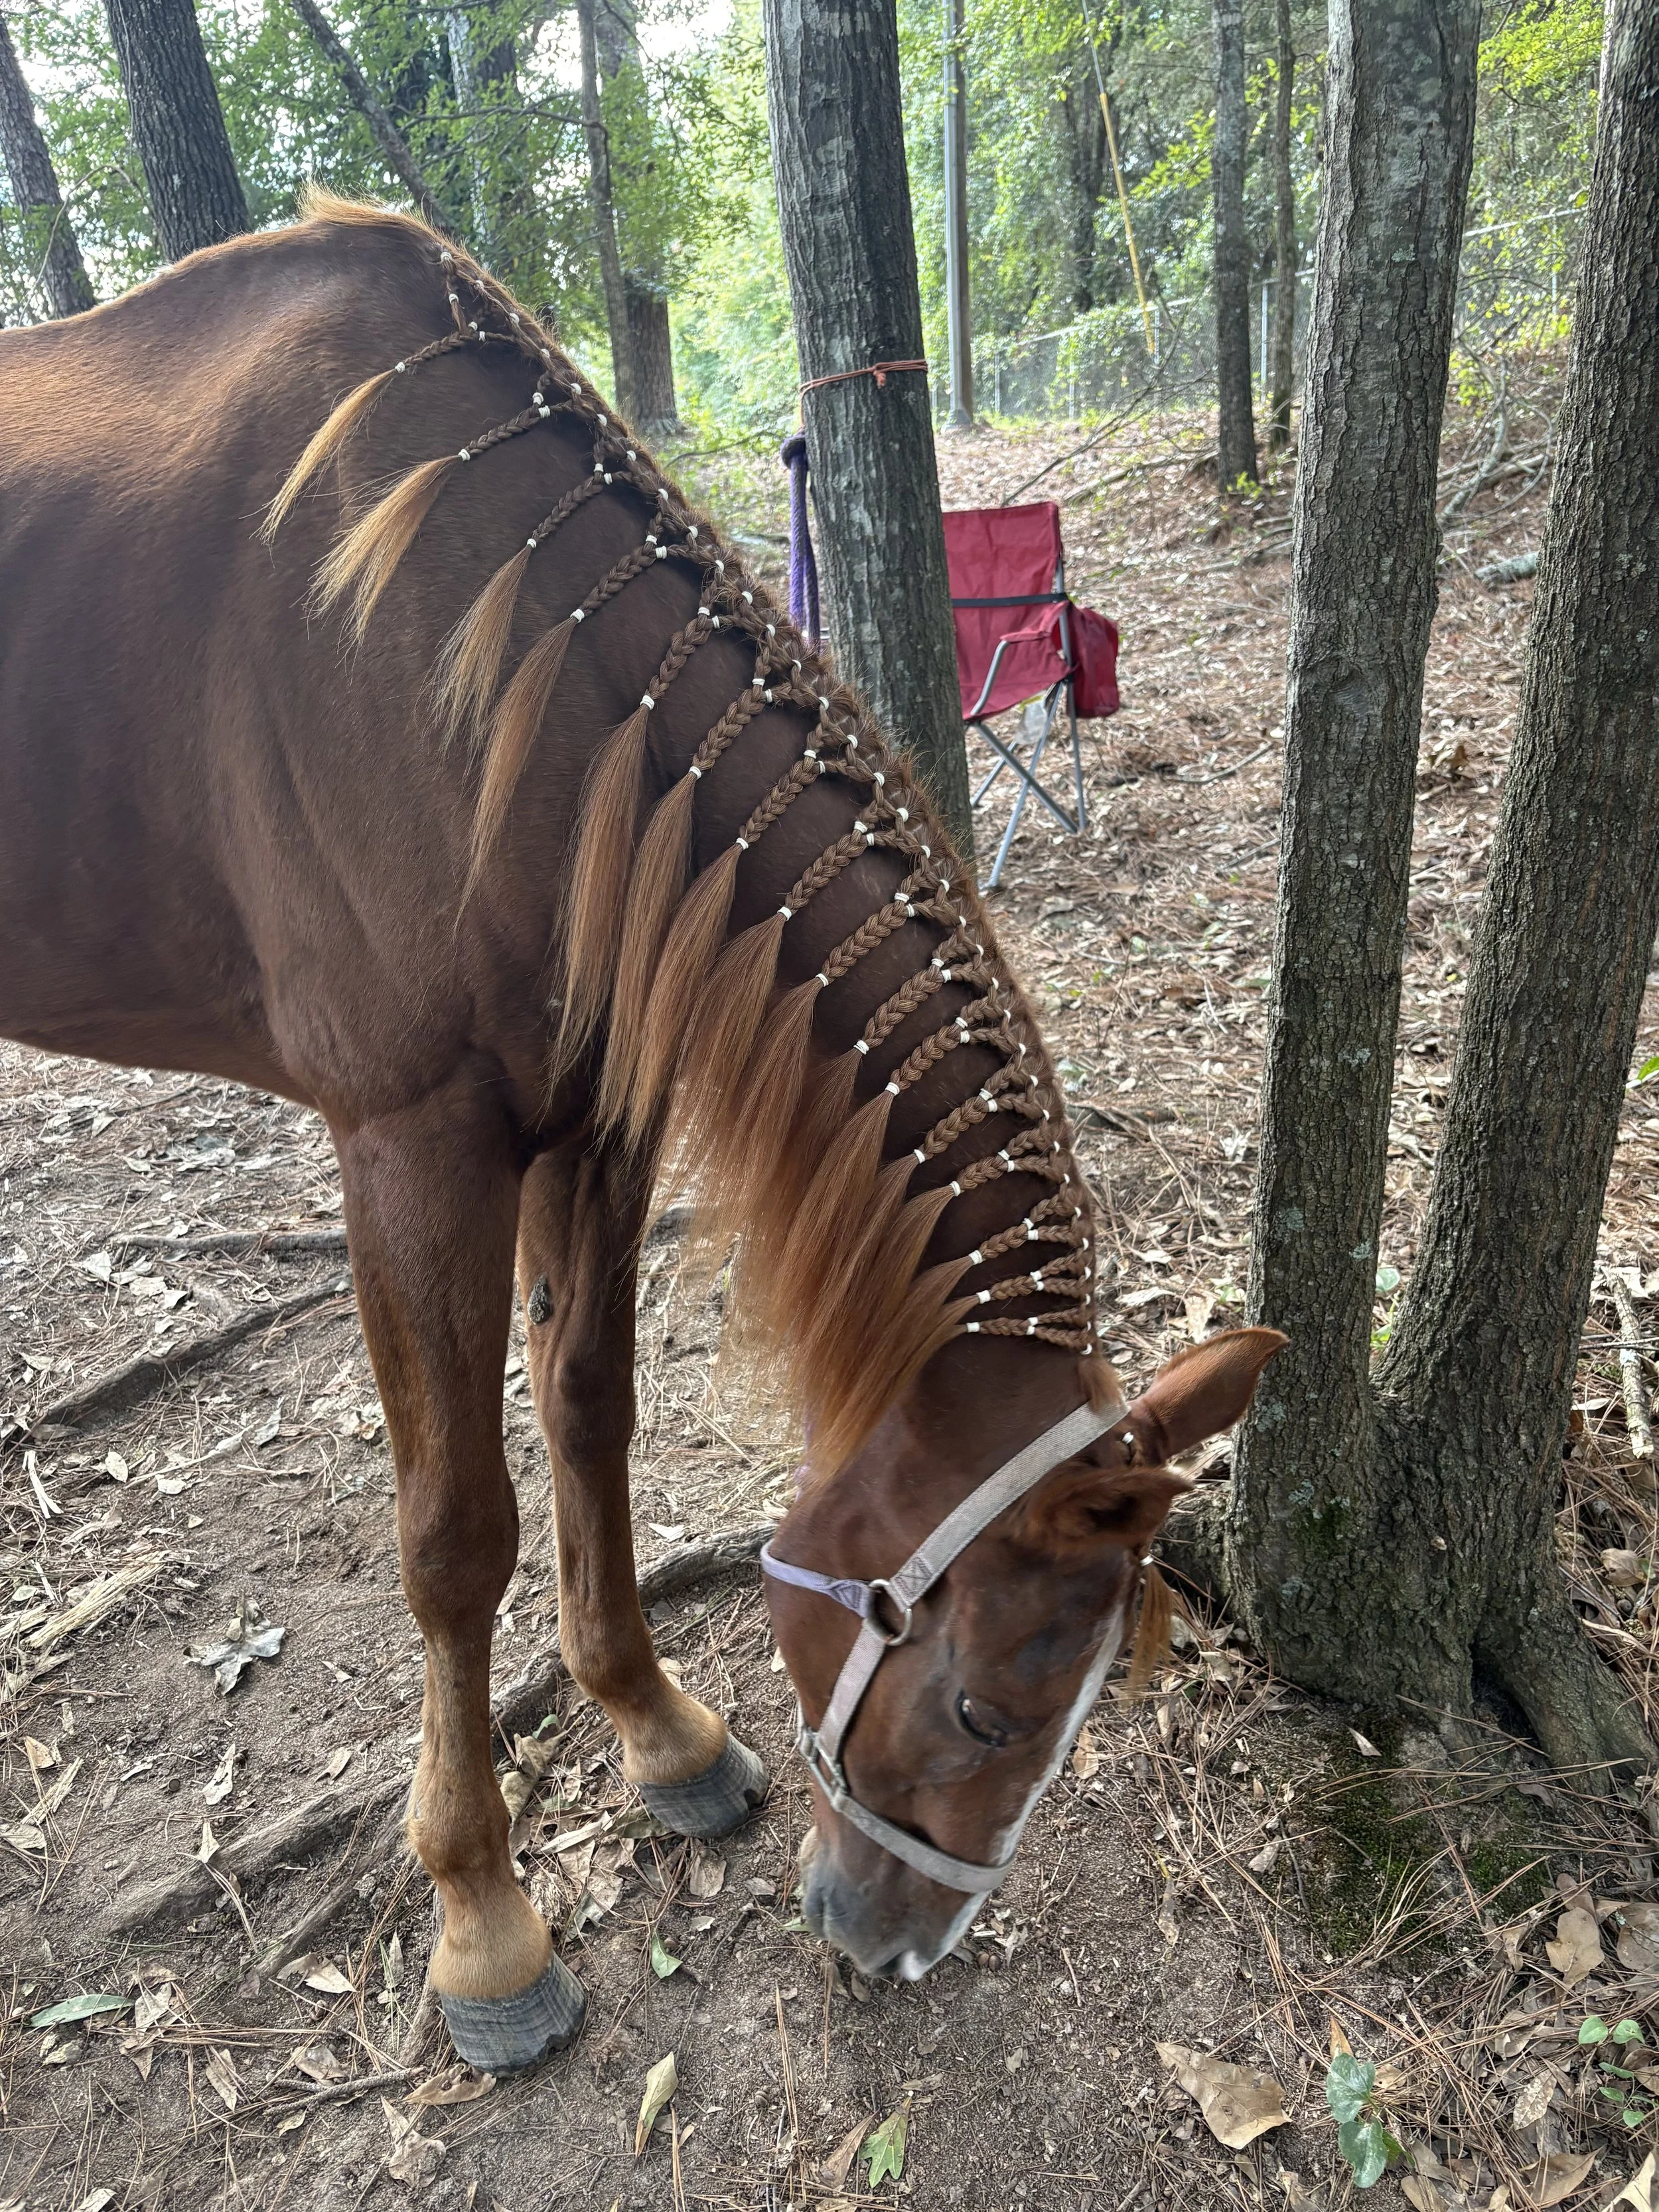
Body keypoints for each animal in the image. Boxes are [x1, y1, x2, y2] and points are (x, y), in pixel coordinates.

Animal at [0, 193, 1285, 2070]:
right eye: (984, 1709)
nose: (898, 1947)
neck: (489, 659)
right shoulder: (411, 1148)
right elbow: (455, 1534)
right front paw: (483, 1918)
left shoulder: (596, 1120)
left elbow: (588, 1414)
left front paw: (656, 1729)